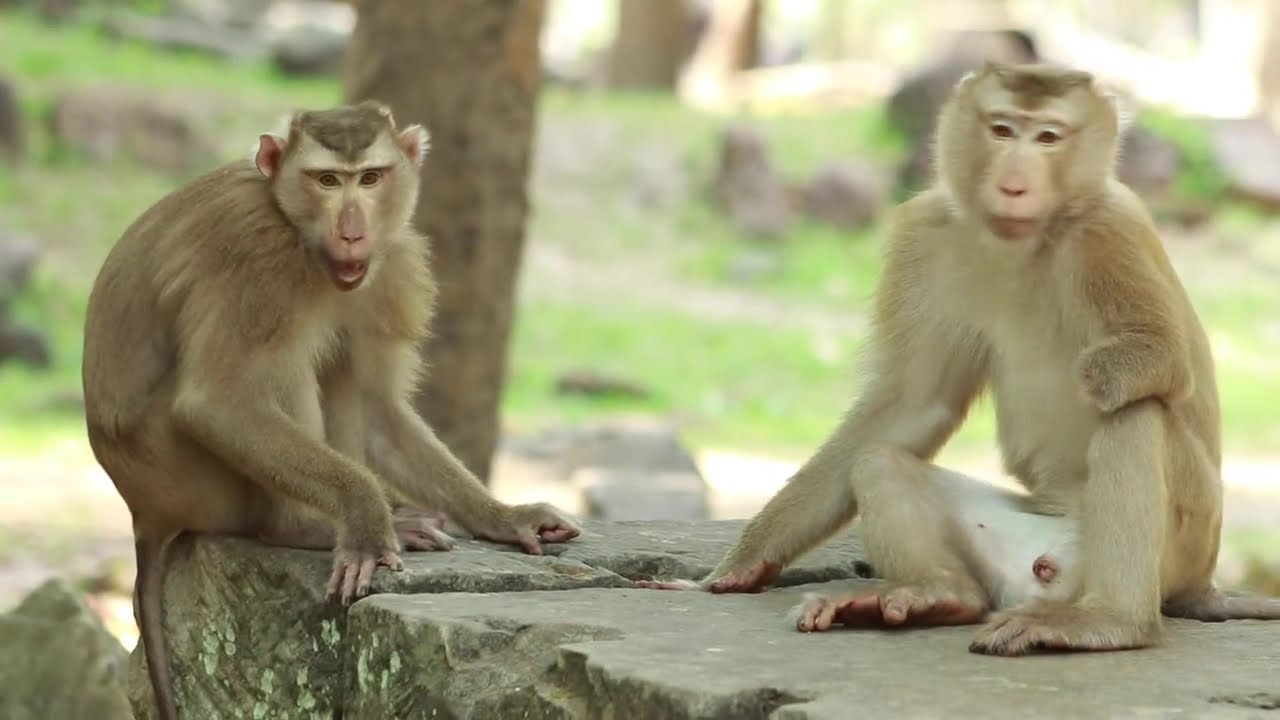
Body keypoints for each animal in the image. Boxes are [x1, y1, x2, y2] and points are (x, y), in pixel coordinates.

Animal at [81, 101, 581, 720]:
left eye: (369, 178)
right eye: (325, 180)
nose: (351, 228)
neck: (296, 232)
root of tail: (142, 512)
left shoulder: (389, 268)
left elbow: (375, 407)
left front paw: (503, 515)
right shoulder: (258, 262)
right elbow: (216, 402)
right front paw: (365, 518)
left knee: (339, 363)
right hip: (189, 480)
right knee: (286, 363)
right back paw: (300, 526)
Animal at [639, 62, 1280, 653]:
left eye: (1047, 137)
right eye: (1002, 129)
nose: (1015, 183)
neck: (1026, 238)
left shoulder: (1110, 230)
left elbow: (1164, 360)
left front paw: (1097, 373)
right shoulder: (927, 235)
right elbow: (912, 403)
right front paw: (740, 564)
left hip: (1182, 546)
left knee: (1135, 413)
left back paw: (1111, 621)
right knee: (880, 462)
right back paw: (938, 595)